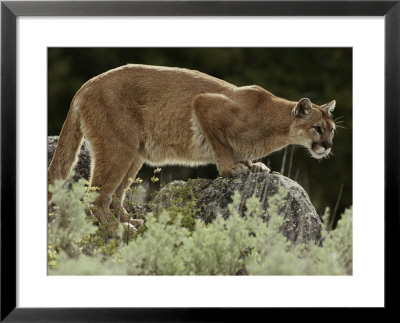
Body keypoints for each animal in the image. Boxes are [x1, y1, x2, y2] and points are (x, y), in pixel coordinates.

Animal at [48, 64, 336, 229]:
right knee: (95, 196)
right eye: (317, 128)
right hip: (118, 148)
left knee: (116, 194)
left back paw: (131, 221)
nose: (328, 146)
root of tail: (85, 84)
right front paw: (232, 169)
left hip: (134, 153)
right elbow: (221, 145)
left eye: (332, 130)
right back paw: (117, 231)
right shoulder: (205, 104)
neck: (275, 125)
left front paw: (253, 165)